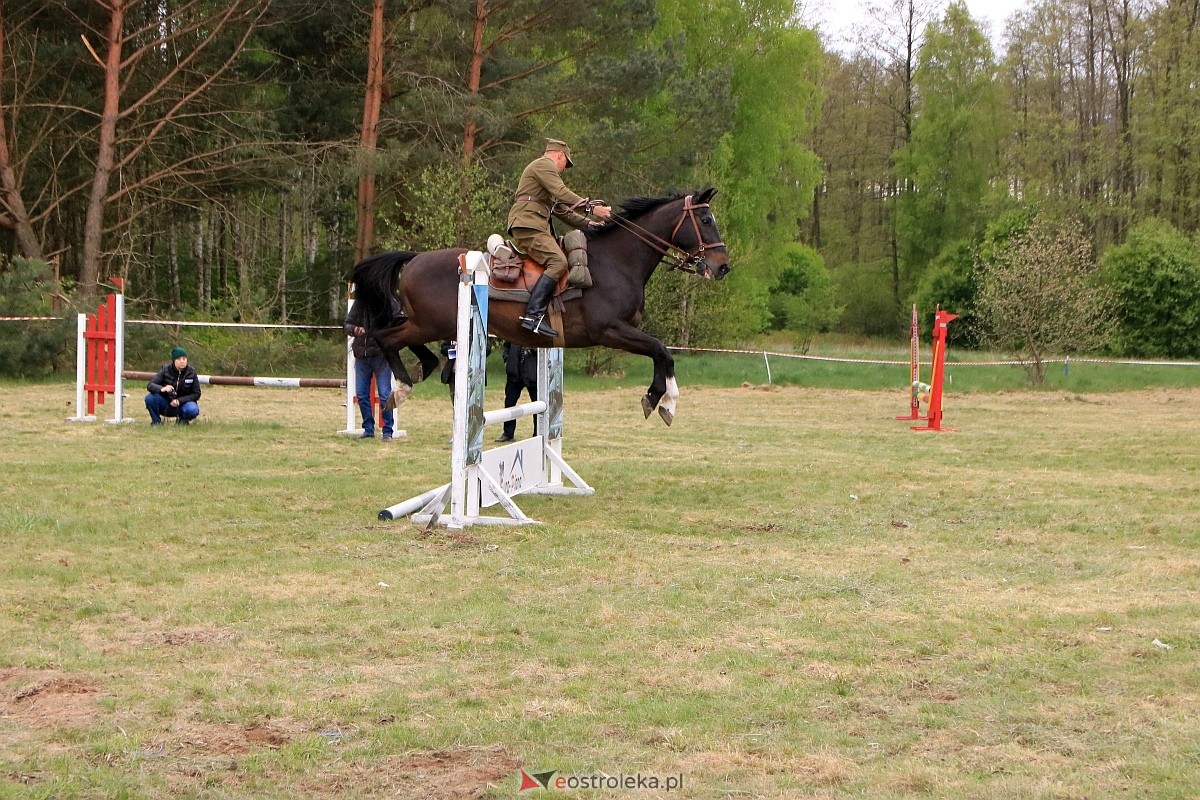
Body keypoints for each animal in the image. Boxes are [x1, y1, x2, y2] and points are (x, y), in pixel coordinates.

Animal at [350, 188, 724, 424]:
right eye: (706, 221)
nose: (722, 266)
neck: (616, 261)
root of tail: (416, 258)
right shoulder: (610, 330)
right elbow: (662, 351)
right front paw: (661, 400)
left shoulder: (622, 331)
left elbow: (662, 354)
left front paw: (663, 401)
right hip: (431, 323)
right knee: (384, 338)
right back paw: (401, 387)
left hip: (427, 322)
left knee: (391, 335)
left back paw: (421, 368)